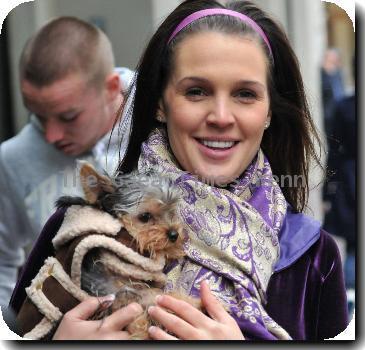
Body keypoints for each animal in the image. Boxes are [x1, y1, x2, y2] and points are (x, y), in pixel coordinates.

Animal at [57, 164, 200, 340]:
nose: (174, 234)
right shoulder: (107, 288)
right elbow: (145, 298)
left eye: (171, 211)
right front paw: (143, 327)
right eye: (145, 217)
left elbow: (157, 295)